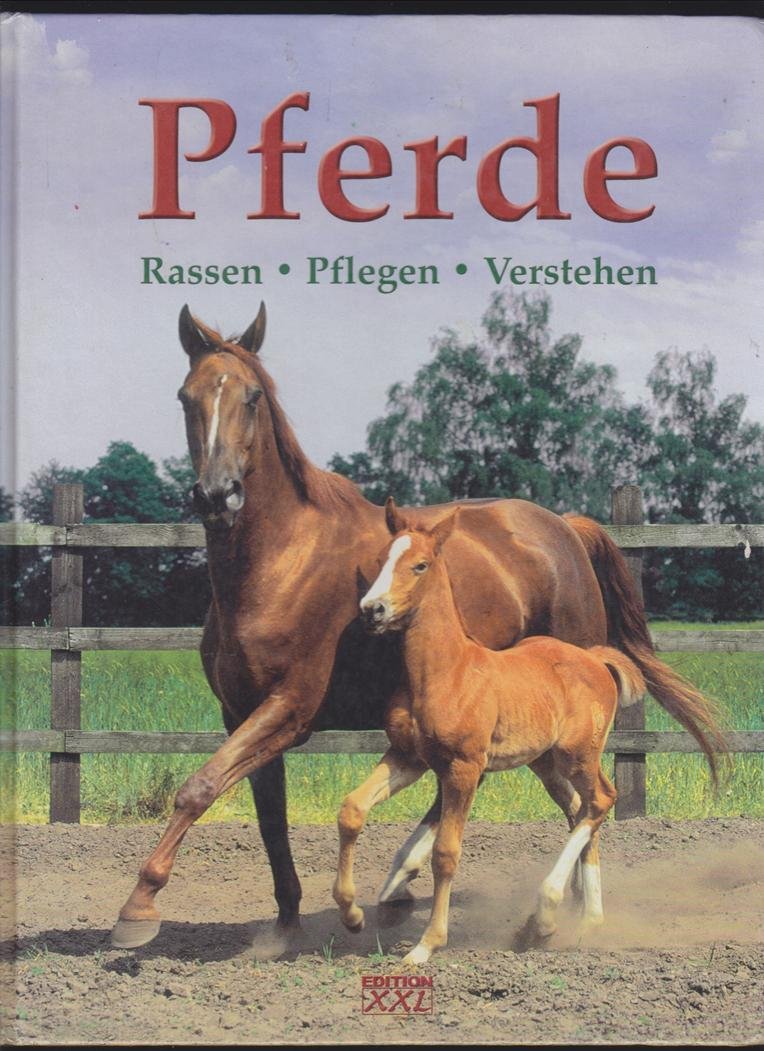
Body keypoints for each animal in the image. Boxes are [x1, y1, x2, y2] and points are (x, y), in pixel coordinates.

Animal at [334, 501, 648, 964]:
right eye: (382, 559)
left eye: (420, 565)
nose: (372, 609)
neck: (444, 670)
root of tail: (595, 659)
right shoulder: (407, 757)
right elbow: (353, 808)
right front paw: (352, 914)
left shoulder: (464, 767)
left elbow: (446, 853)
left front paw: (426, 945)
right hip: (546, 763)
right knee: (581, 808)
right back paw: (583, 920)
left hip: (578, 755)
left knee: (601, 801)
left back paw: (546, 914)